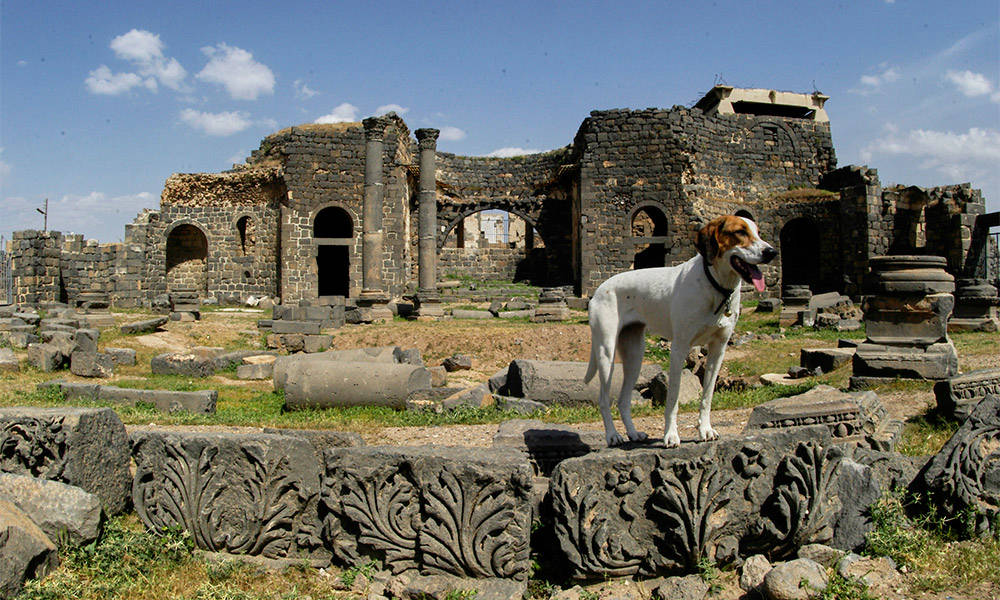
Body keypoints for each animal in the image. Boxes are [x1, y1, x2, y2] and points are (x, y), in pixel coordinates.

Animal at [584, 216, 776, 446]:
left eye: (758, 232)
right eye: (740, 232)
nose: (772, 252)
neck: (714, 285)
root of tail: (598, 290)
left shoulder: (718, 350)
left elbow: (707, 397)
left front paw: (705, 430)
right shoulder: (679, 349)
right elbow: (673, 400)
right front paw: (671, 435)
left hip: (634, 357)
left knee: (623, 400)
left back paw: (633, 433)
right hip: (606, 354)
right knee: (604, 399)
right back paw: (613, 435)